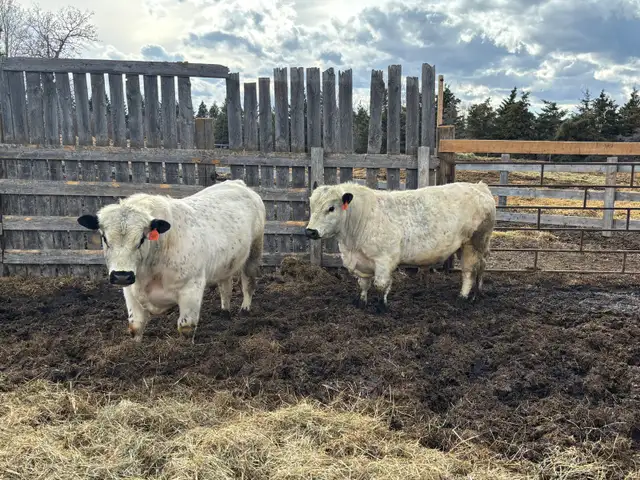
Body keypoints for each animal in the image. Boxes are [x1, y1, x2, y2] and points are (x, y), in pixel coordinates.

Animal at [76, 179, 266, 342]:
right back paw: (225, 312)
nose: (121, 276)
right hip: (225, 263)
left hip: (254, 250)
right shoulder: (130, 291)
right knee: (225, 286)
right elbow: (135, 326)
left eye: (142, 238)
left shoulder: (191, 288)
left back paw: (245, 309)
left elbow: (185, 327)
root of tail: (237, 183)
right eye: (104, 238)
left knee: (248, 282)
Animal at [304, 181, 496, 312]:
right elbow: (364, 284)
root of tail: (479, 186)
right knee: (481, 267)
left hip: (474, 243)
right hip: (472, 246)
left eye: (331, 208)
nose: (310, 231)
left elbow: (381, 285)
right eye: (311, 205)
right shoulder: (362, 262)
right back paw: (477, 293)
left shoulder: (384, 259)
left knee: (469, 272)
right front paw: (362, 303)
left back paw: (463, 297)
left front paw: (382, 307)